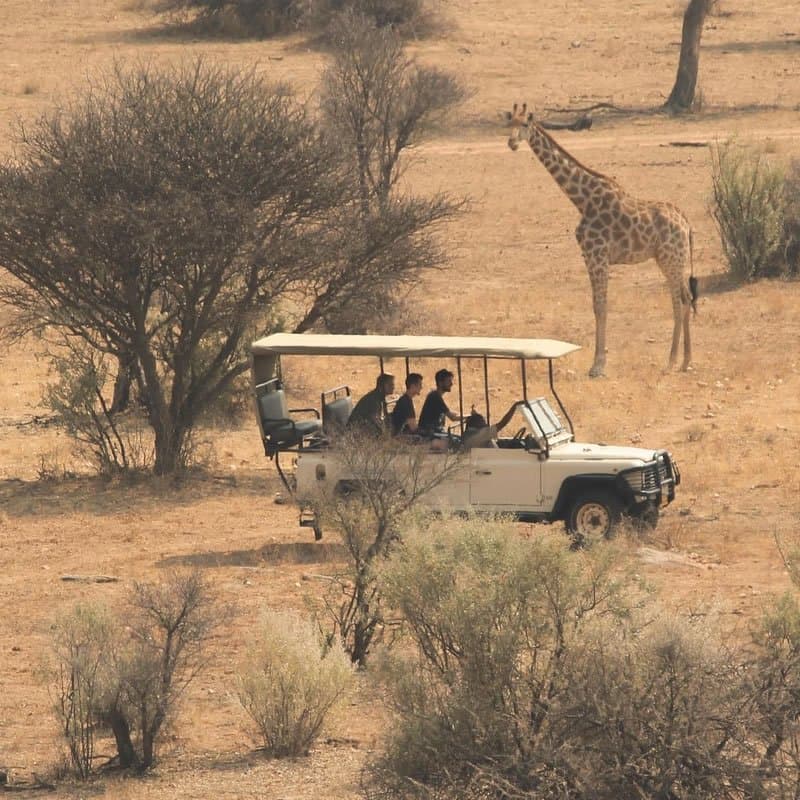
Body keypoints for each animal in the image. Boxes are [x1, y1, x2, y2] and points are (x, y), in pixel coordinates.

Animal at [506, 102, 697, 378]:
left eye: (524, 124)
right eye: (508, 123)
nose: (511, 143)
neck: (582, 200)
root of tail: (686, 224)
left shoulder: (597, 255)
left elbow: (600, 305)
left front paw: (597, 365)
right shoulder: (590, 256)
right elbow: (596, 305)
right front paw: (598, 362)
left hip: (672, 259)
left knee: (678, 300)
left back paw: (671, 361)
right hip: (670, 260)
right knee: (687, 298)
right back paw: (685, 361)